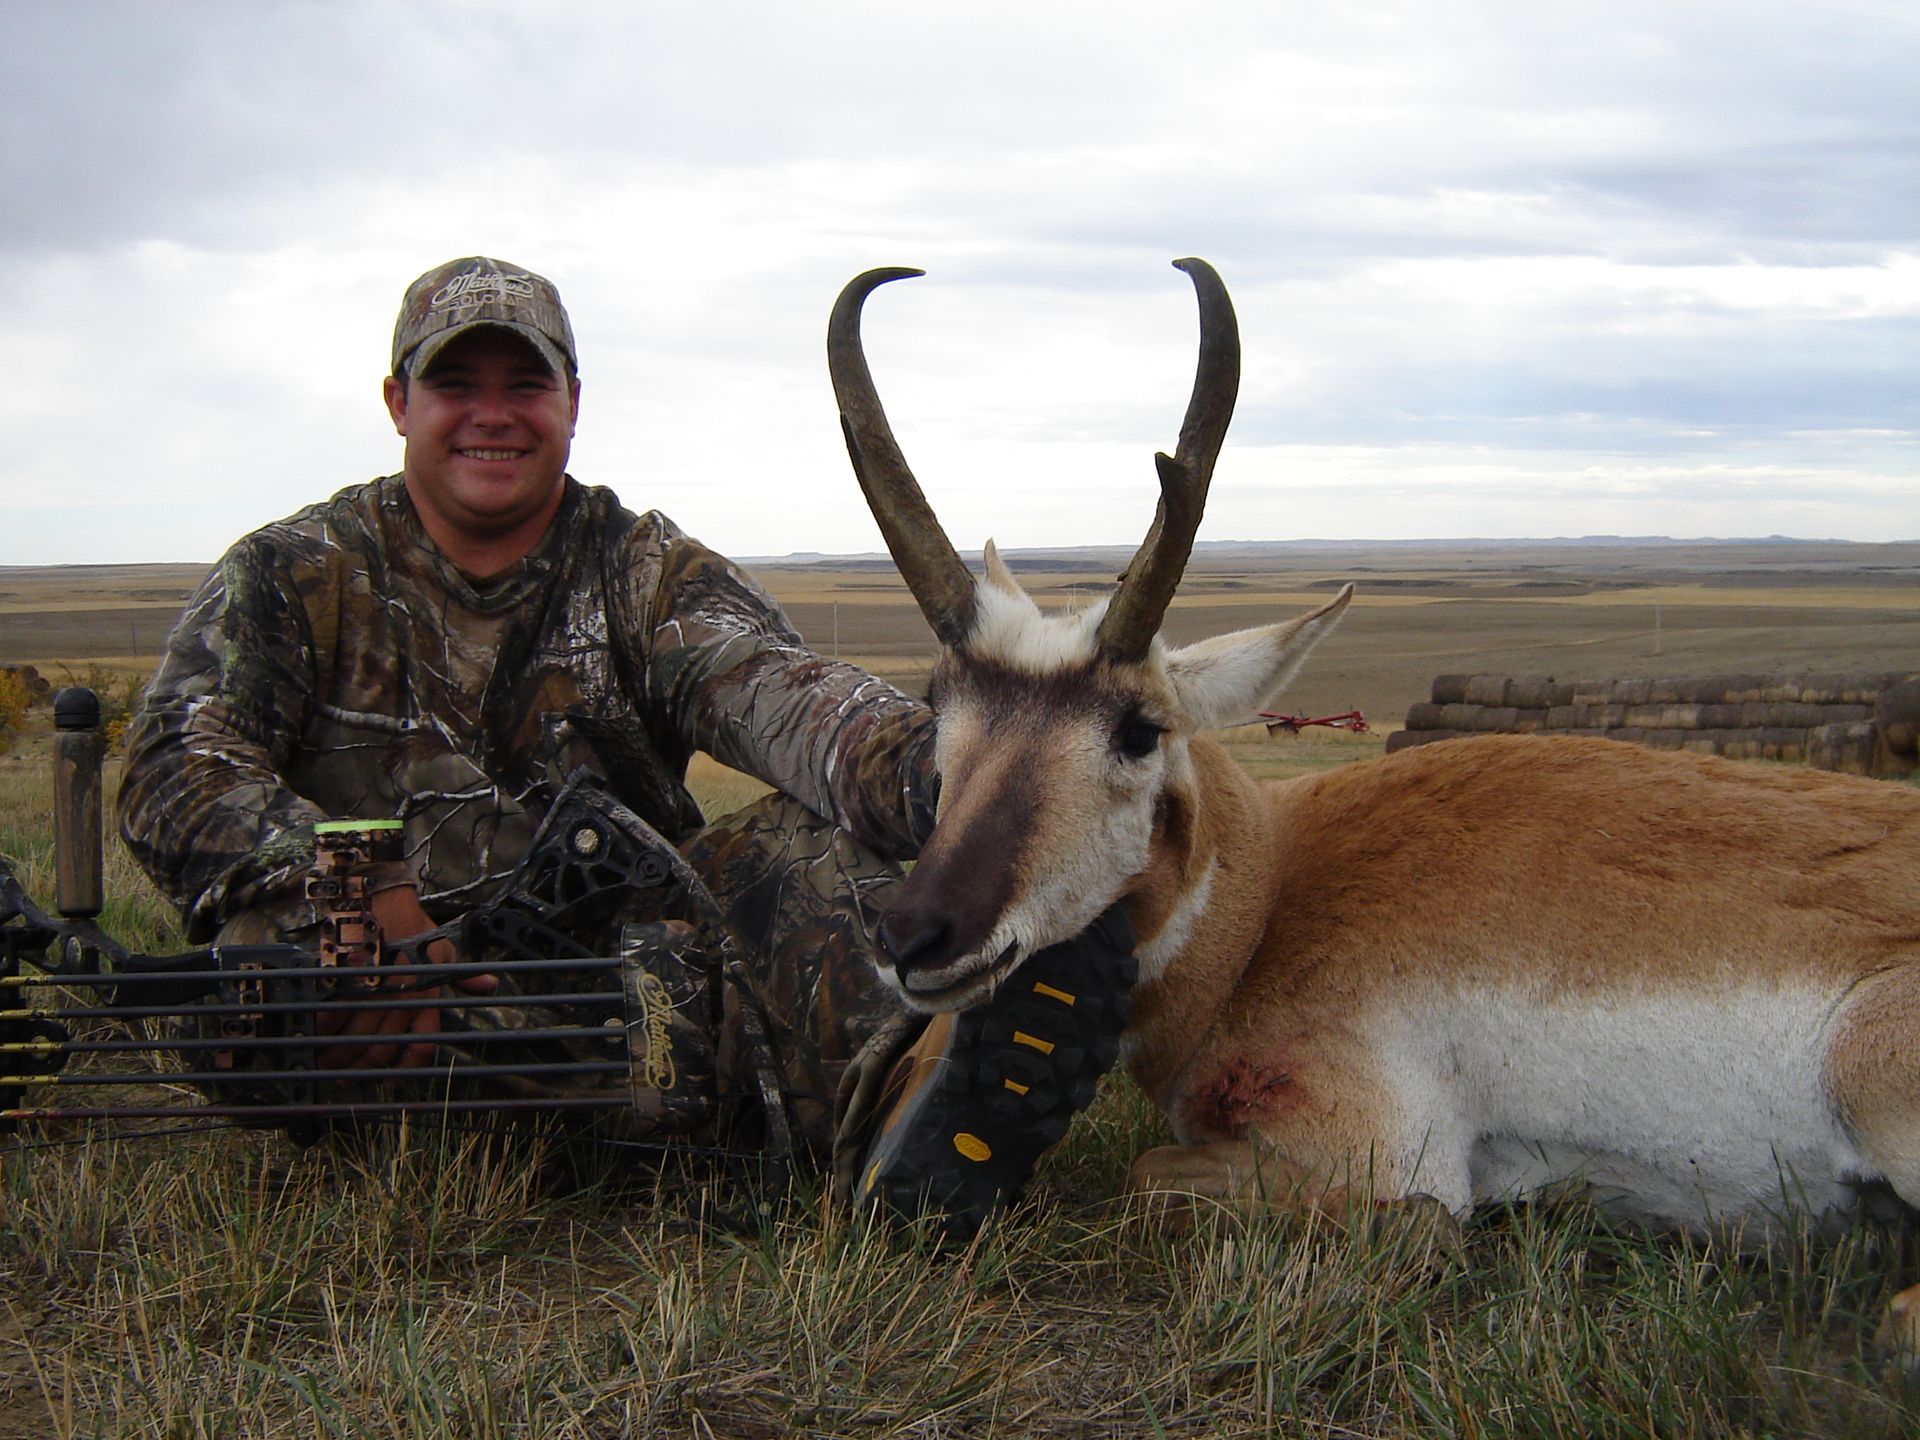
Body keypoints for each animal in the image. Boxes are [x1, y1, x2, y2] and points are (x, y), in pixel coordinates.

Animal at [828, 259, 1920, 1354]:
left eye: (1139, 727)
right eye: (940, 705)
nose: (914, 935)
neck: (1271, 896)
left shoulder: (1369, 1145)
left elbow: (1164, 1178)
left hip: (1870, 1064)